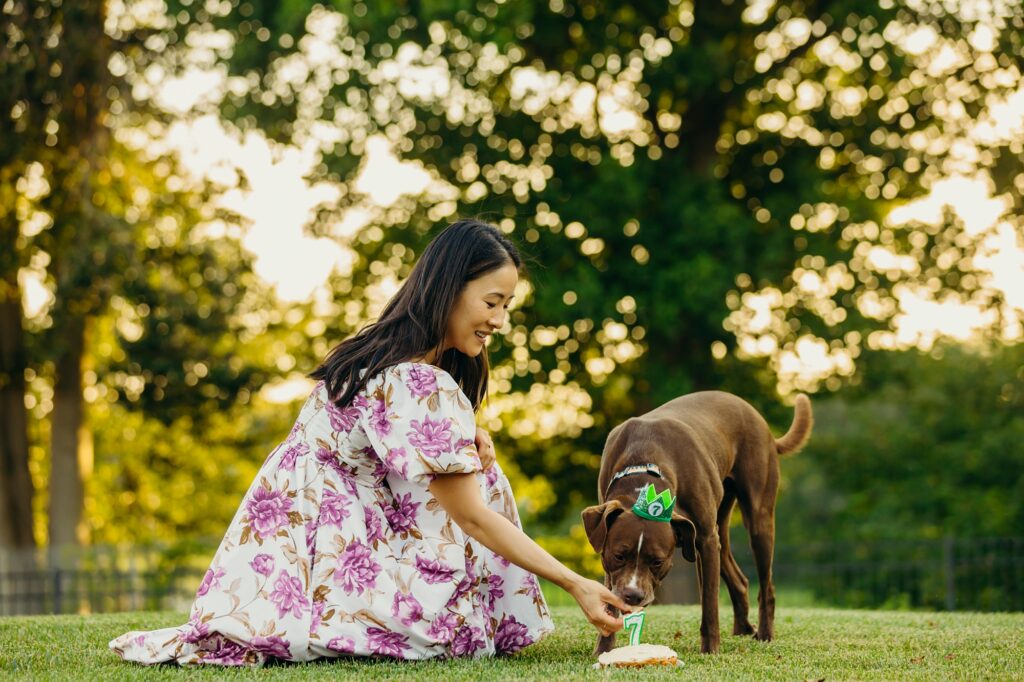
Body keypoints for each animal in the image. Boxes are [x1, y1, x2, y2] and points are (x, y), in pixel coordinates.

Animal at [585, 387, 806, 655]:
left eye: (657, 561)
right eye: (618, 556)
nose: (633, 595)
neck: (644, 461)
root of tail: (761, 422)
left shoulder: (705, 539)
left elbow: (709, 603)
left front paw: (710, 650)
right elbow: (609, 601)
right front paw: (604, 650)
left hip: (758, 519)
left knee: (766, 585)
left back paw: (764, 634)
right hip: (721, 521)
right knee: (739, 578)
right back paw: (742, 629)